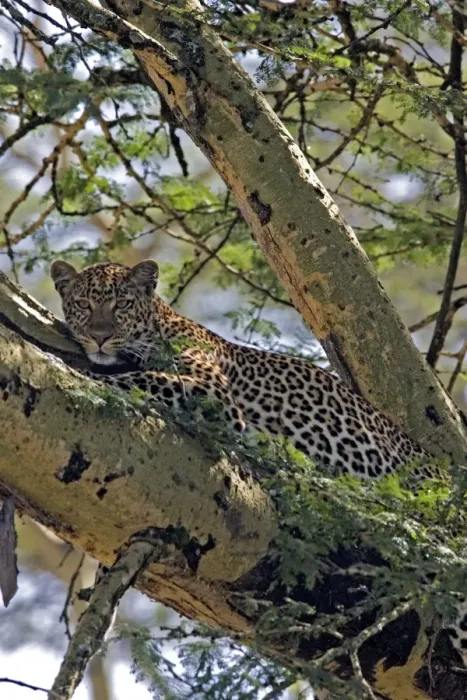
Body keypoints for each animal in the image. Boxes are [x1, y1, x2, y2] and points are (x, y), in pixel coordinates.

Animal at [50, 258, 467, 664]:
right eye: (83, 304)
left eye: (120, 304)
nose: (100, 337)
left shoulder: (211, 392)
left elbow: (142, 379)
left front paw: (75, 370)